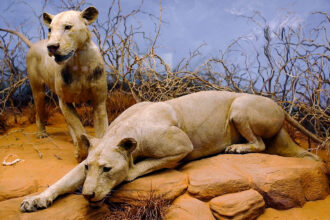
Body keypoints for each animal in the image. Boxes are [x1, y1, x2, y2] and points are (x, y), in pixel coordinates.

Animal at [0, 6, 108, 162]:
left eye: (68, 27)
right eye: (50, 29)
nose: (51, 47)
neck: (79, 62)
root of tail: (34, 44)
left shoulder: (99, 102)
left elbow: (101, 131)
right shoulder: (64, 101)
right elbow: (79, 129)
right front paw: (81, 152)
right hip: (38, 90)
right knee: (39, 112)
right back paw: (41, 133)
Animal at [19, 90, 324, 212]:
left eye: (107, 169)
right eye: (87, 167)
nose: (88, 195)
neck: (123, 131)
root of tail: (280, 106)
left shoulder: (182, 145)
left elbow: (143, 166)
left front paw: (129, 171)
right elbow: (62, 181)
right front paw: (35, 200)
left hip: (239, 107)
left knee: (259, 144)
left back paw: (236, 147)